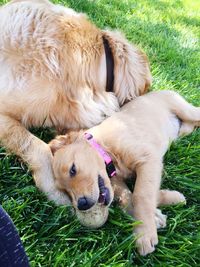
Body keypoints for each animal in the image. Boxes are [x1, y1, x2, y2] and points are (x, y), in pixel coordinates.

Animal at [48, 90, 200, 258]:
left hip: (183, 108)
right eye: (65, 191)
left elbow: (141, 195)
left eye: (73, 170)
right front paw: (159, 212)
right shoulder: (117, 180)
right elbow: (127, 197)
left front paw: (144, 234)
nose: (82, 204)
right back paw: (182, 132)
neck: (106, 150)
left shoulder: (148, 159)